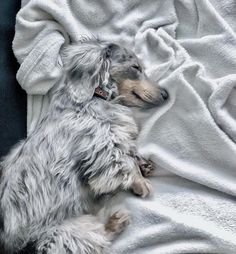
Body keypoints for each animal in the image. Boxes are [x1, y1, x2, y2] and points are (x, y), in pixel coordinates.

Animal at [0, 39, 168, 254]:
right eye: (135, 67)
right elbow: (124, 162)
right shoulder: (101, 144)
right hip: (64, 232)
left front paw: (144, 164)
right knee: (97, 239)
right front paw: (140, 181)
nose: (166, 94)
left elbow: (129, 151)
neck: (97, 97)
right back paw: (117, 222)